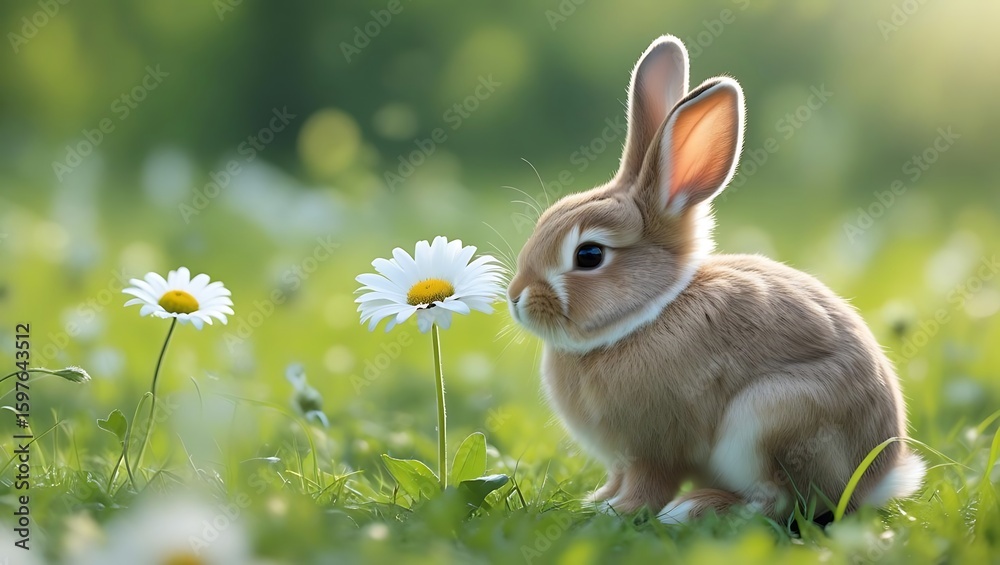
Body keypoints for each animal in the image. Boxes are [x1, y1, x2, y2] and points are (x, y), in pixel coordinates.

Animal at [505, 35, 925, 522]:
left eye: (588, 255)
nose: (516, 298)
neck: (648, 313)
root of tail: (879, 478)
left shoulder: (656, 448)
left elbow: (649, 482)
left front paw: (618, 511)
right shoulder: (623, 459)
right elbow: (618, 477)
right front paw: (597, 500)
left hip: (769, 420)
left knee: (779, 502)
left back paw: (694, 509)